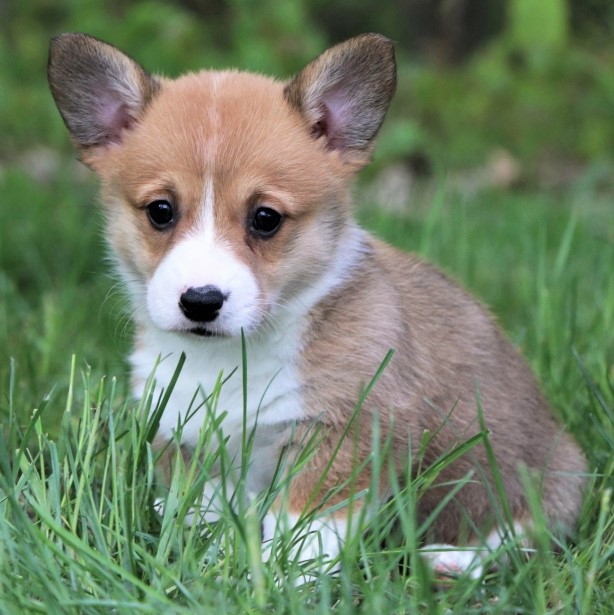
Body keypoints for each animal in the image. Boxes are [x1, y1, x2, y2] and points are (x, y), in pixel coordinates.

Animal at [48, 32, 588, 584]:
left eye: (266, 218)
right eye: (161, 211)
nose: (201, 302)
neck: (233, 357)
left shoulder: (346, 435)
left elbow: (307, 526)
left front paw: (283, 579)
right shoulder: (187, 433)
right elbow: (205, 507)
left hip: (522, 478)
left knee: (521, 533)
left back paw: (453, 559)